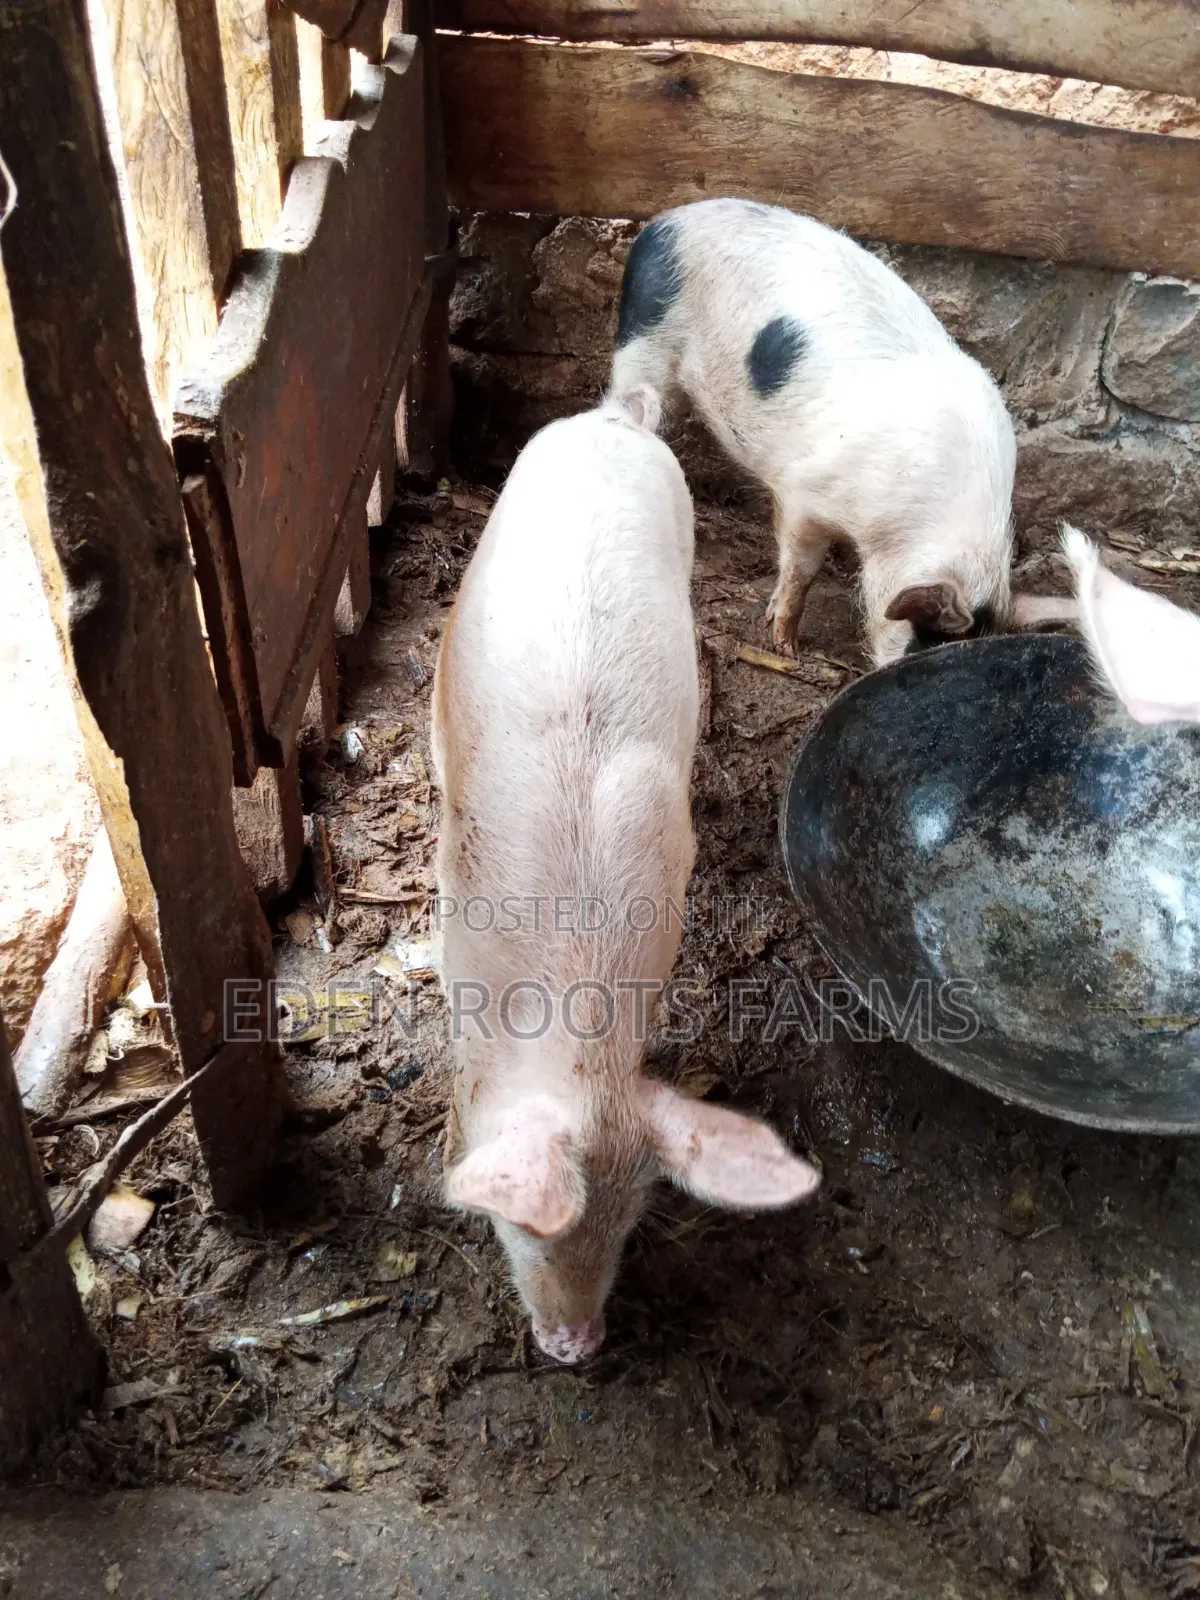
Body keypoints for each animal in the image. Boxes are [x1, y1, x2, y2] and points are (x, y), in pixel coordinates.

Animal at [608, 197, 1021, 666]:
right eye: (927, 643)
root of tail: (665, 220)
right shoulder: (804, 494)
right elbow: (801, 568)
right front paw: (784, 646)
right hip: (644, 341)